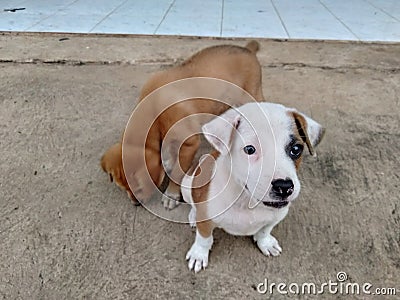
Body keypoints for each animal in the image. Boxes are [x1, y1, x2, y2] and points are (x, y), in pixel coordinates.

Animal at [102, 39, 266, 206]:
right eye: (123, 188)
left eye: (138, 188)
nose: (136, 204)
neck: (154, 113)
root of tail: (248, 49)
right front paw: (168, 161)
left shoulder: (189, 144)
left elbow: (177, 173)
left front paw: (171, 195)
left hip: (252, 94)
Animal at [181, 102, 324, 274]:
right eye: (250, 149)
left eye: (296, 149)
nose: (284, 187)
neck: (245, 200)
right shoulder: (206, 219)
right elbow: (204, 238)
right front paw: (199, 254)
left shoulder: (277, 216)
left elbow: (265, 229)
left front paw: (265, 242)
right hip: (187, 184)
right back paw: (192, 216)